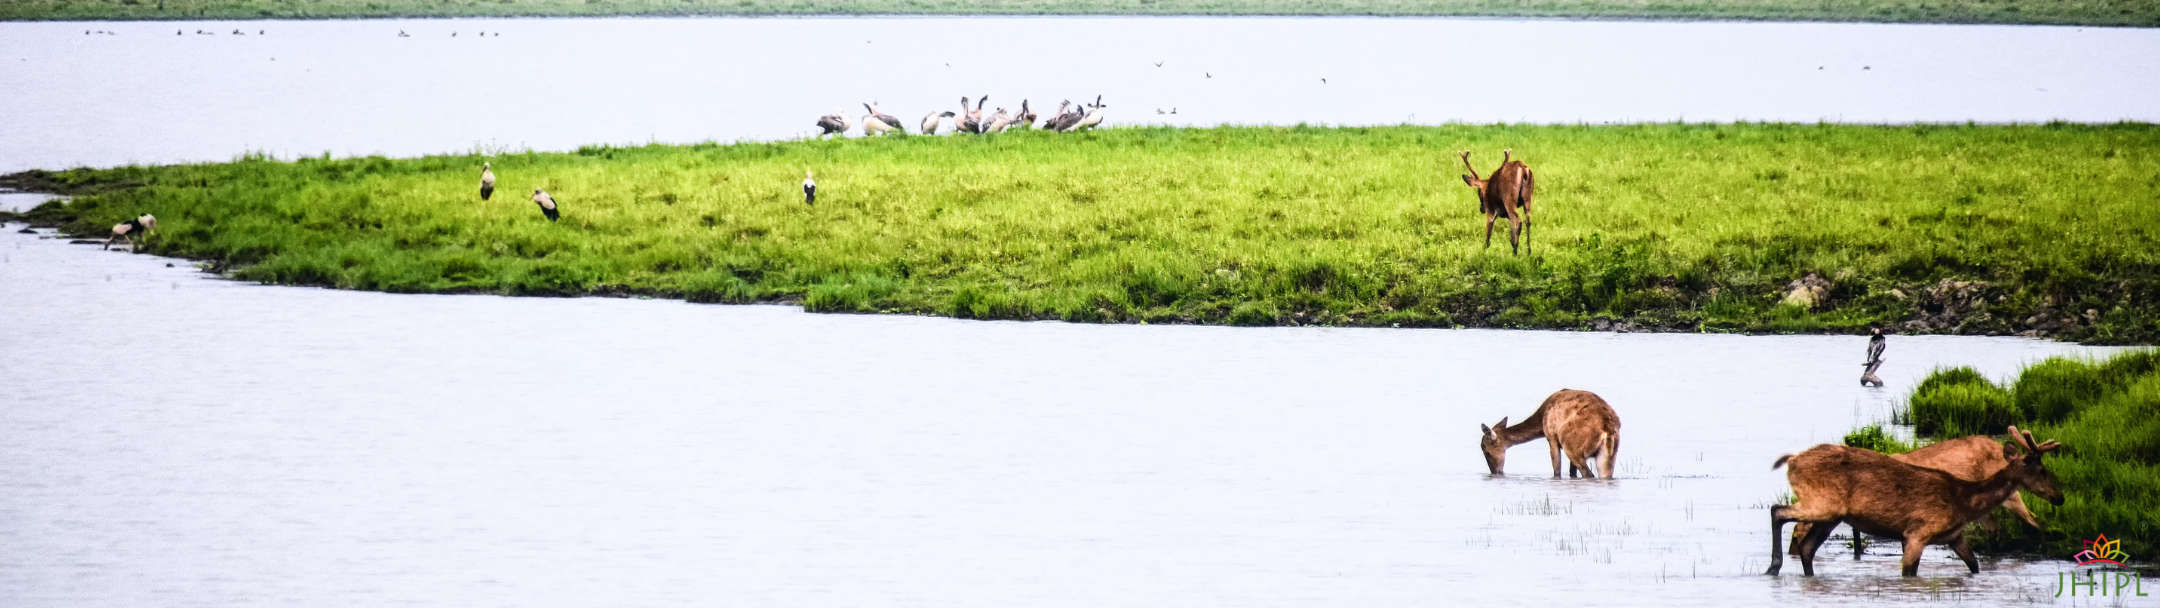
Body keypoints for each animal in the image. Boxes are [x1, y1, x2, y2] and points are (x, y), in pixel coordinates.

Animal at [1479, 389, 1621, 479]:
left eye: (1487, 452)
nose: (1495, 472)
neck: (1541, 421)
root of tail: (1608, 429)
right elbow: (1572, 473)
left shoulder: (1551, 437)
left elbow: (1557, 471)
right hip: (1606, 456)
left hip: (1571, 447)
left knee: (1588, 474)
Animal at [1767, 427, 2063, 578]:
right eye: (2041, 470)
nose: (2059, 497)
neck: (1963, 502)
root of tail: (1791, 461)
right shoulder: (1917, 533)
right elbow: (1910, 571)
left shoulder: (1952, 536)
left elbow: (1974, 565)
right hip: (1823, 503)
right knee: (1778, 511)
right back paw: (1774, 566)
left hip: (1830, 516)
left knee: (1806, 547)